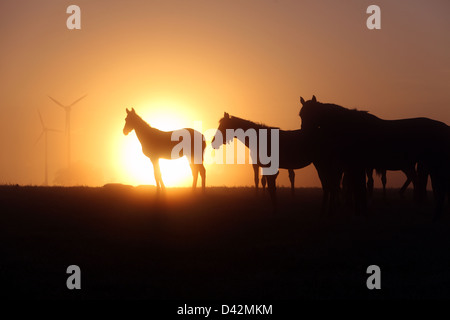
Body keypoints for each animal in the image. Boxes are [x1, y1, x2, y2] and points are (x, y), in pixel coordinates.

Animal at [298, 96, 450, 219]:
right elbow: (358, 188)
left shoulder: (357, 166)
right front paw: (359, 212)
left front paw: (359, 213)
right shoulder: (356, 167)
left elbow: (359, 188)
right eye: (301, 115)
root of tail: (445, 128)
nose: (304, 135)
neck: (350, 127)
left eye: (312, 114)